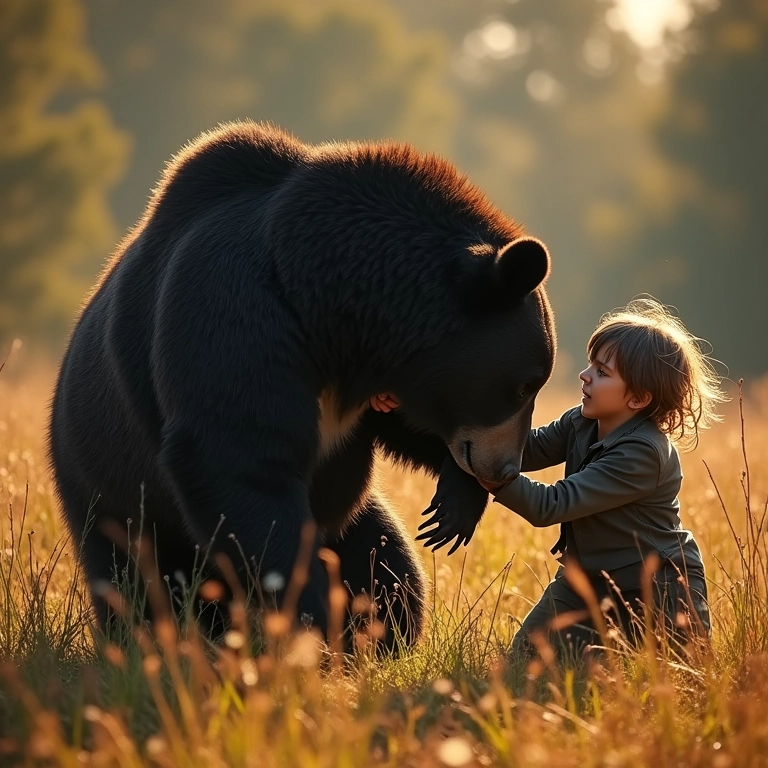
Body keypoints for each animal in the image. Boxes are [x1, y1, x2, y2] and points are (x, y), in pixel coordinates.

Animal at [48, 121, 555, 652]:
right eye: (525, 386)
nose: (501, 468)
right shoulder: (233, 317)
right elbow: (240, 462)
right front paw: (308, 617)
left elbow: (404, 434)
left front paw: (454, 507)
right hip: (110, 485)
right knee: (138, 579)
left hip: (347, 516)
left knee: (389, 567)